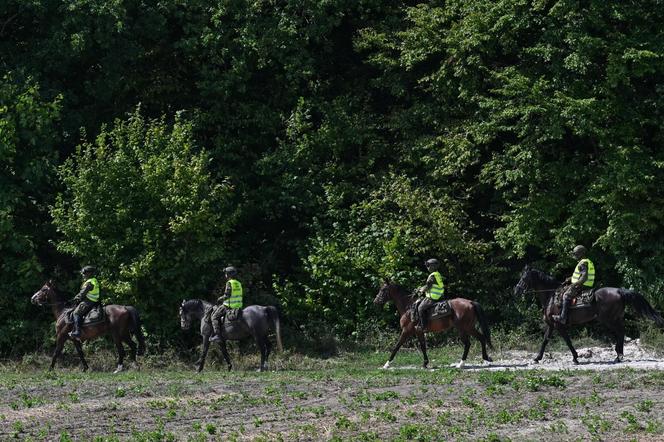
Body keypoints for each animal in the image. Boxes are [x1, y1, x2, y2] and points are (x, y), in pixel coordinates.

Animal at [512, 264, 664, 364]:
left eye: (524, 278)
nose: (516, 291)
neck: (551, 295)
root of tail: (619, 291)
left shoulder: (558, 324)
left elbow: (567, 341)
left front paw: (575, 357)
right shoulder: (551, 325)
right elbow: (545, 341)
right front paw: (537, 358)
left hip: (608, 320)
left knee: (620, 332)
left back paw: (618, 356)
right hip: (616, 318)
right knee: (620, 332)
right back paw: (618, 355)